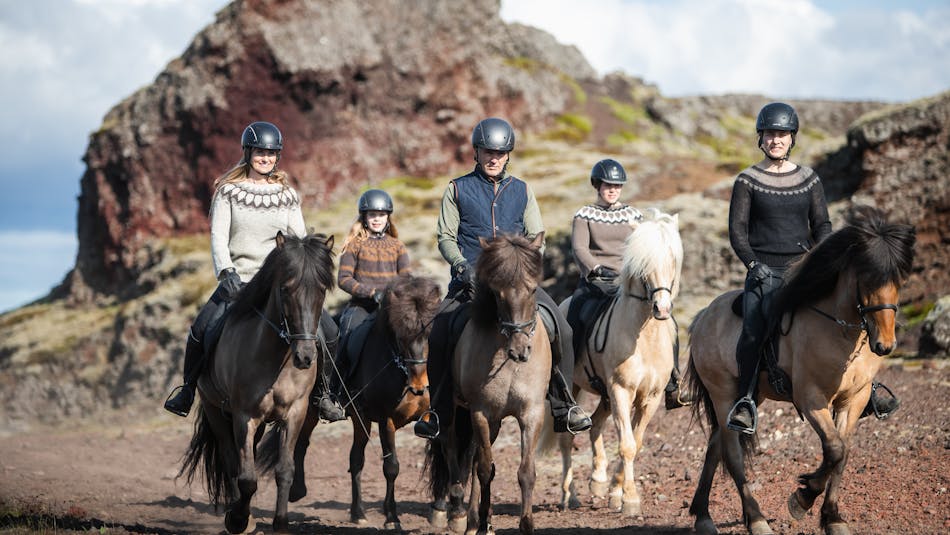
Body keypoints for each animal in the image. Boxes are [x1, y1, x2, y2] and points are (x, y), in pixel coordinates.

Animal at [179, 232, 335, 534]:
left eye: (322, 290)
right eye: (285, 289)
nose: (305, 357)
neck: (277, 359)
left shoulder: (294, 414)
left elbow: (284, 471)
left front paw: (281, 524)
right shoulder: (244, 416)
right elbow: (247, 478)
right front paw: (238, 519)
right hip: (216, 410)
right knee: (231, 461)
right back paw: (240, 515)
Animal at [286, 273, 442, 530]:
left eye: (430, 333)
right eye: (401, 335)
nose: (420, 387)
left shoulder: (432, 419)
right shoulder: (386, 421)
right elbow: (391, 467)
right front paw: (392, 518)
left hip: (361, 420)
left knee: (356, 458)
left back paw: (357, 512)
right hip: (311, 410)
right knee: (301, 444)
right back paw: (297, 491)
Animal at [425, 232, 551, 535]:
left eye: (532, 290)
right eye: (497, 293)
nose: (520, 350)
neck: (509, 362)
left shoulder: (532, 413)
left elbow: (525, 471)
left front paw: (525, 524)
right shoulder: (480, 412)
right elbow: (484, 469)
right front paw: (480, 521)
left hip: (492, 421)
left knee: (470, 459)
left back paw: (474, 518)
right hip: (454, 411)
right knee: (453, 449)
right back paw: (461, 514)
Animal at [555, 208, 683, 515]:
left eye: (672, 259)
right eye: (644, 263)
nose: (662, 308)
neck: (643, 336)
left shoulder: (651, 397)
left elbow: (636, 442)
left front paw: (616, 490)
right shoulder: (621, 391)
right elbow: (626, 445)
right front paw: (631, 499)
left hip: (604, 395)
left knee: (596, 425)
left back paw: (598, 481)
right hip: (578, 389)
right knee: (567, 439)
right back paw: (570, 495)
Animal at [685, 206, 915, 535]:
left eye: (899, 279)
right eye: (868, 278)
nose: (885, 344)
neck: (839, 331)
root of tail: (704, 315)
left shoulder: (853, 401)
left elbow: (843, 454)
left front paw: (833, 518)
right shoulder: (811, 400)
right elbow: (834, 449)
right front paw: (802, 498)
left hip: (750, 394)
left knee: (715, 447)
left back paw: (703, 516)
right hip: (723, 394)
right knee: (731, 453)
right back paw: (757, 520)